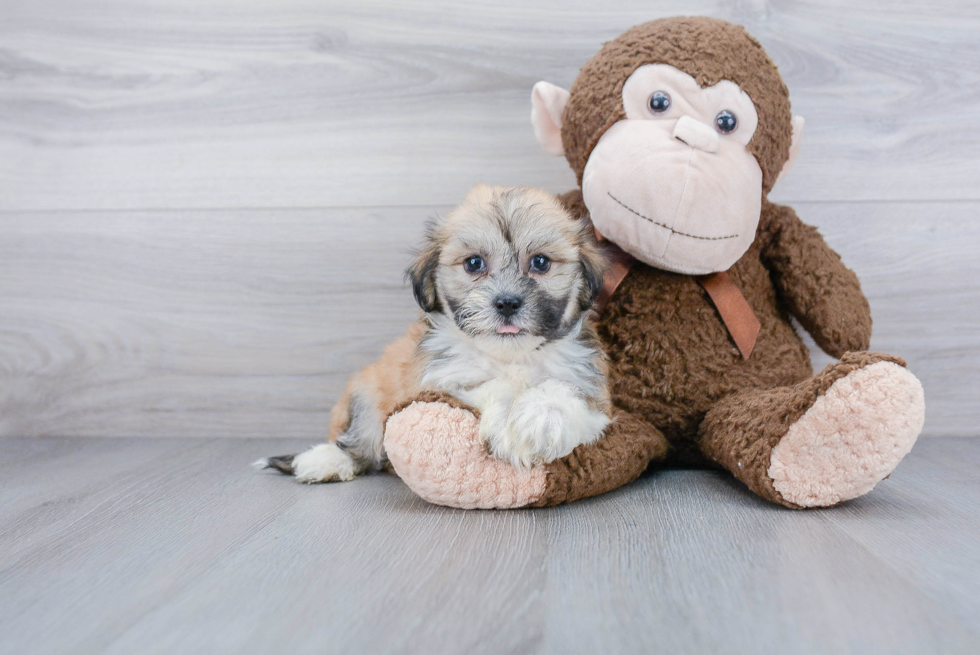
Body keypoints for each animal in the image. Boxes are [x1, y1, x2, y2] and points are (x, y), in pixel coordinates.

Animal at [258, 184, 612, 482]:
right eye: (474, 263)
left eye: (540, 262)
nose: (507, 303)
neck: (510, 357)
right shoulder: (438, 383)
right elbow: (491, 386)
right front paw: (508, 424)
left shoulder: (593, 396)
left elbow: (562, 391)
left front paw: (537, 422)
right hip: (366, 394)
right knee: (361, 444)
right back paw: (324, 461)